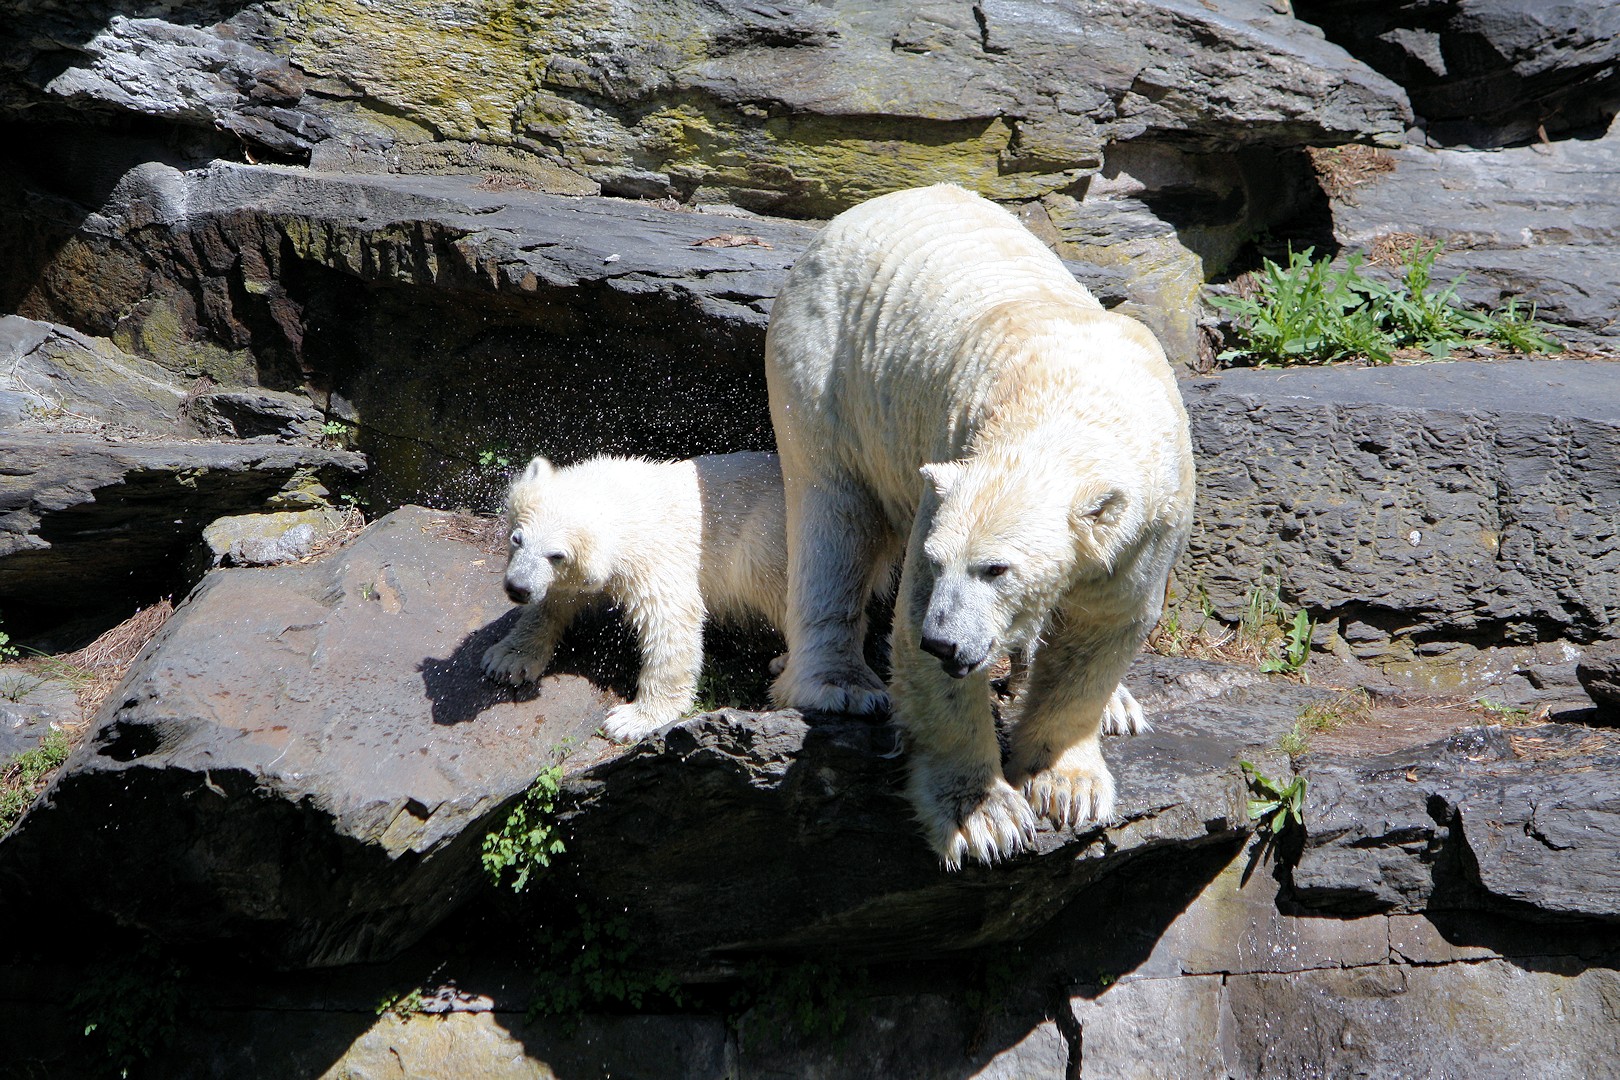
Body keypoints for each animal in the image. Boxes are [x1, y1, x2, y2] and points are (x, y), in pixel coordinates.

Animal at [764, 181, 1198, 867]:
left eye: (996, 568)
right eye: (943, 561)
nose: (945, 643)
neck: (1069, 401)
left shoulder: (1148, 524)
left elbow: (1103, 629)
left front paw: (1066, 784)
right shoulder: (949, 462)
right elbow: (914, 625)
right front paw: (986, 818)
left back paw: (1119, 706)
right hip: (826, 367)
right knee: (834, 514)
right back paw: (840, 683)